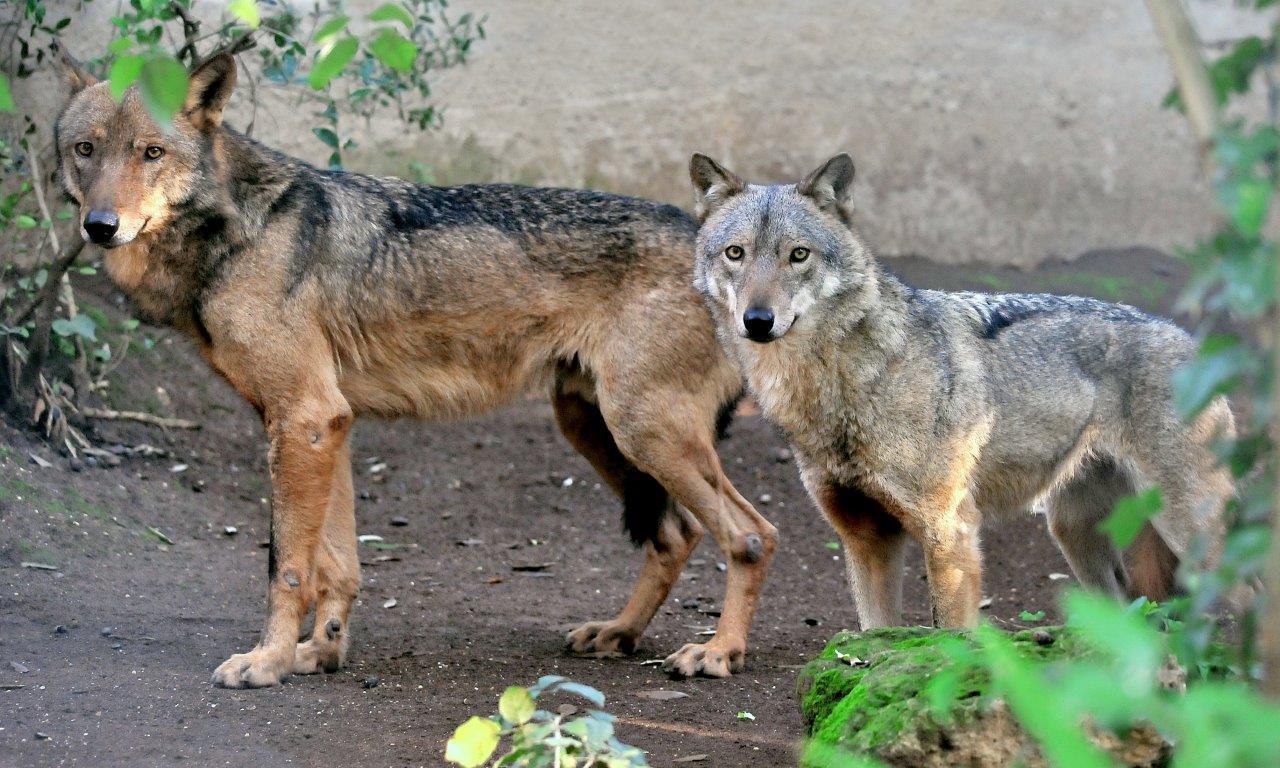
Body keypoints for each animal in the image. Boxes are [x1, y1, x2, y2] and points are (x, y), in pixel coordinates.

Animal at [52, 54, 778, 691]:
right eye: (85, 150)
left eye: (151, 152)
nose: (100, 225)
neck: (236, 230)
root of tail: (715, 239)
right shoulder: (325, 424)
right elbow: (337, 565)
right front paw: (320, 653)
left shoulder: (304, 419)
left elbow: (287, 567)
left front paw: (266, 663)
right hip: (594, 428)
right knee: (676, 534)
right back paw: (620, 633)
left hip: (642, 432)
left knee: (751, 534)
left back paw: (718, 653)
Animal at [686, 151, 1233, 629]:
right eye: (736, 254)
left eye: (798, 255)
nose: (758, 321)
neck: (844, 383)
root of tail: (1196, 343)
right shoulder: (867, 539)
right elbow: (875, 639)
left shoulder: (950, 533)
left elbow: (950, 639)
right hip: (1074, 533)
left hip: (1193, 536)